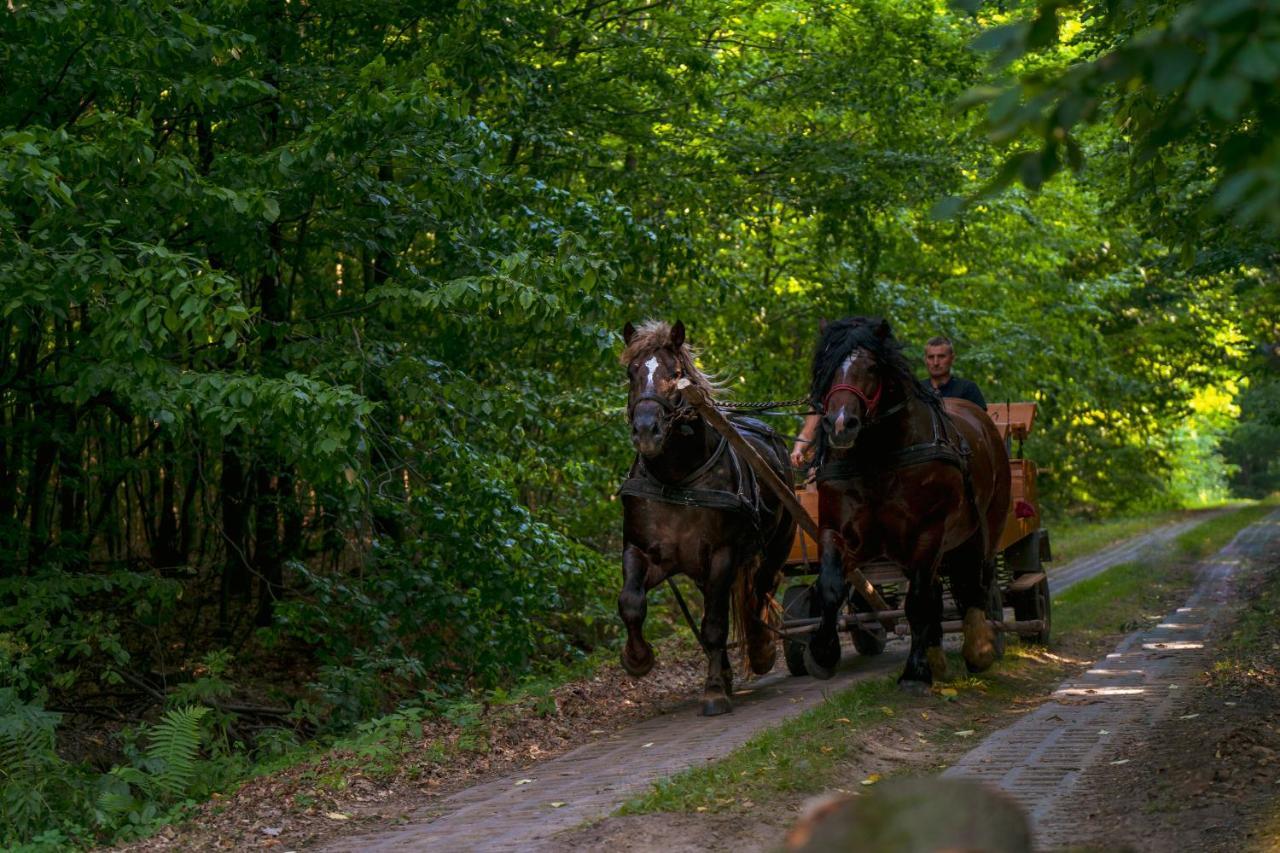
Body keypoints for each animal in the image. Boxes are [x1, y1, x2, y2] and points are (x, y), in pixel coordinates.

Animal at [614, 318, 793, 712]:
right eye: (632, 373)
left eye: (676, 373)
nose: (646, 431)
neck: (678, 479)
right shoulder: (641, 550)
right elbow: (631, 603)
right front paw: (638, 658)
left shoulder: (722, 554)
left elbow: (714, 624)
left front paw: (712, 691)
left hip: (777, 544)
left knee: (761, 590)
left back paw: (760, 649)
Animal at [798, 318, 1008, 691]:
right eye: (826, 366)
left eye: (871, 367)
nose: (840, 424)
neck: (877, 457)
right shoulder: (837, 531)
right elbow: (831, 587)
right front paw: (822, 652)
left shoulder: (928, 533)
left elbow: (917, 602)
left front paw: (915, 671)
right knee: (941, 589)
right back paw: (939, 657)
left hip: (983, 530)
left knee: (974, 582)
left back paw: (979, 647)